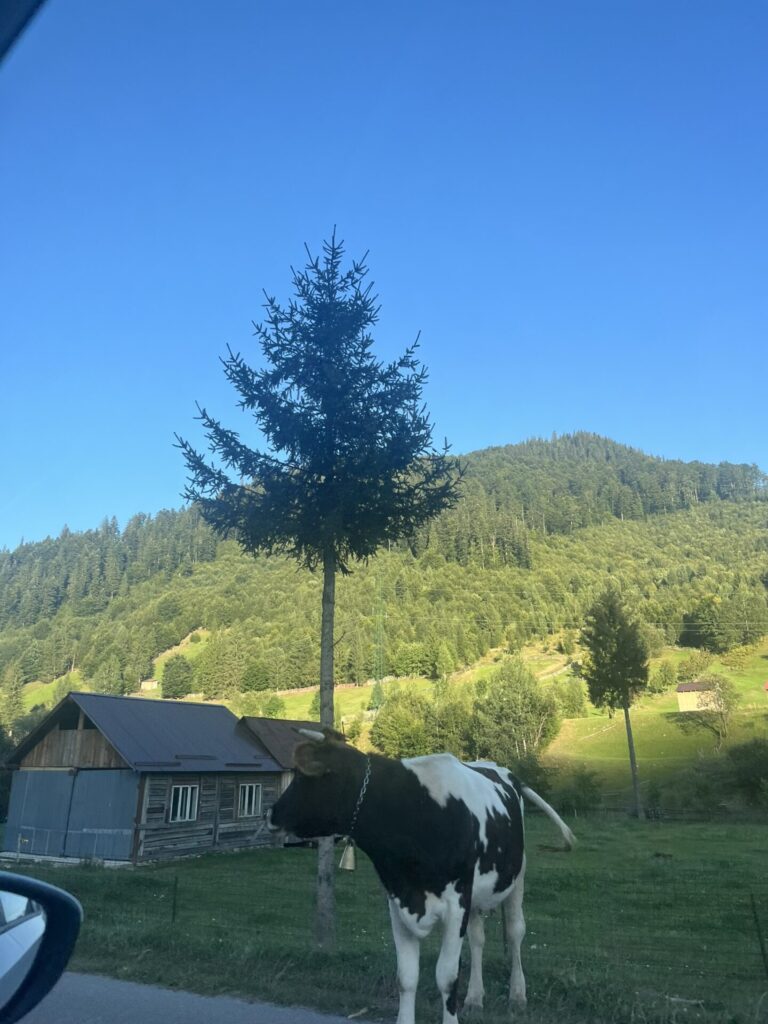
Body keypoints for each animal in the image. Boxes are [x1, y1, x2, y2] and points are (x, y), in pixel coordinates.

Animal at [267, 728, 575, 1024]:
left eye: (306, 778)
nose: (271, 813)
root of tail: (500, 770)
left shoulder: (456, 903)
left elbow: (447, 977)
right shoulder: (398, 901)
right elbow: (406, 977)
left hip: (516, 877)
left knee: (514, 932)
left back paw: (517, 995)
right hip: (476, 895)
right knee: (478, 939)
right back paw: (475, 997)